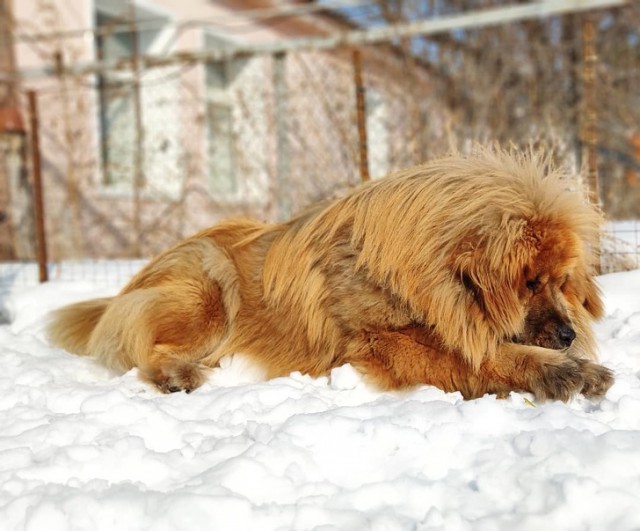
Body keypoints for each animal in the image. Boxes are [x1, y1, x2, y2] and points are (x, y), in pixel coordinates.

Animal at [48, 148, 616, 402]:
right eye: (529, 284)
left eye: (561, 283)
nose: (569, 335)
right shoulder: (384, 341)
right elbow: (479, 355)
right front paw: (563, 371)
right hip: (206, 292)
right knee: (151, 349)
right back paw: (179, 375)